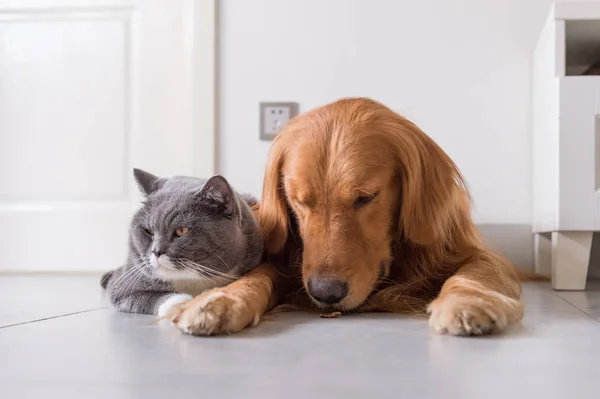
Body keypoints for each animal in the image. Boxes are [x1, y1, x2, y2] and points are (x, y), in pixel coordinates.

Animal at [101, 170, 262, 318]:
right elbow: (144, 296)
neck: (190, 280)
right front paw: (182, 303)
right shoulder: (123, 283)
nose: (156, 251)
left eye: (181, 231)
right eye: (149, 231)